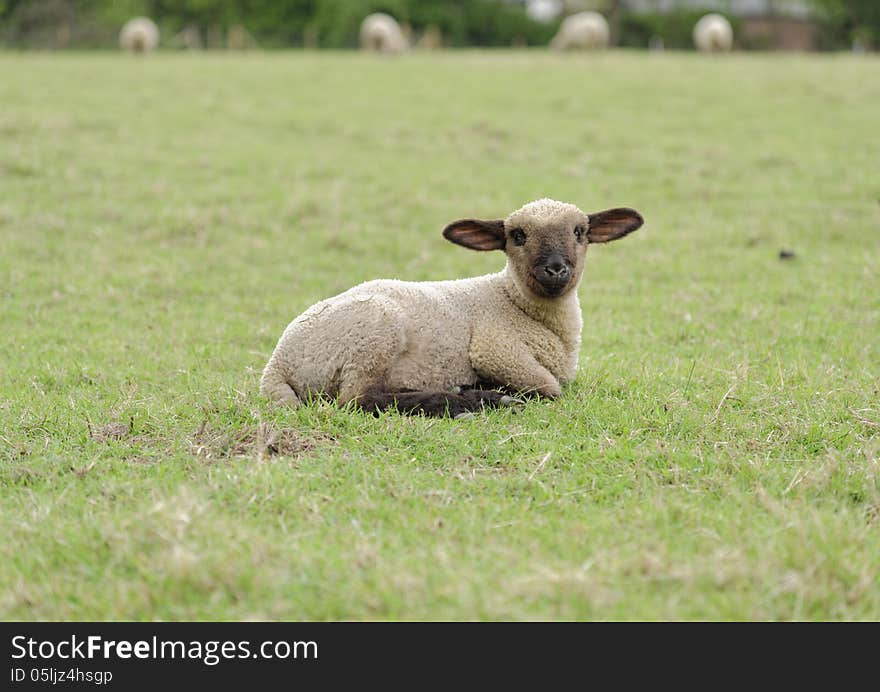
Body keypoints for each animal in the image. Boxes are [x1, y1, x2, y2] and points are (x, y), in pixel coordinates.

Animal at [258, 197, 644, 418]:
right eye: (517, 236)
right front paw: (496, 393)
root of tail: (276, 366)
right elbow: (549, 388)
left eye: (580, 232)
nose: (555, 269)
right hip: (374, 334)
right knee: (357, 400)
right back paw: (472, 403)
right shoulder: (496, 350)